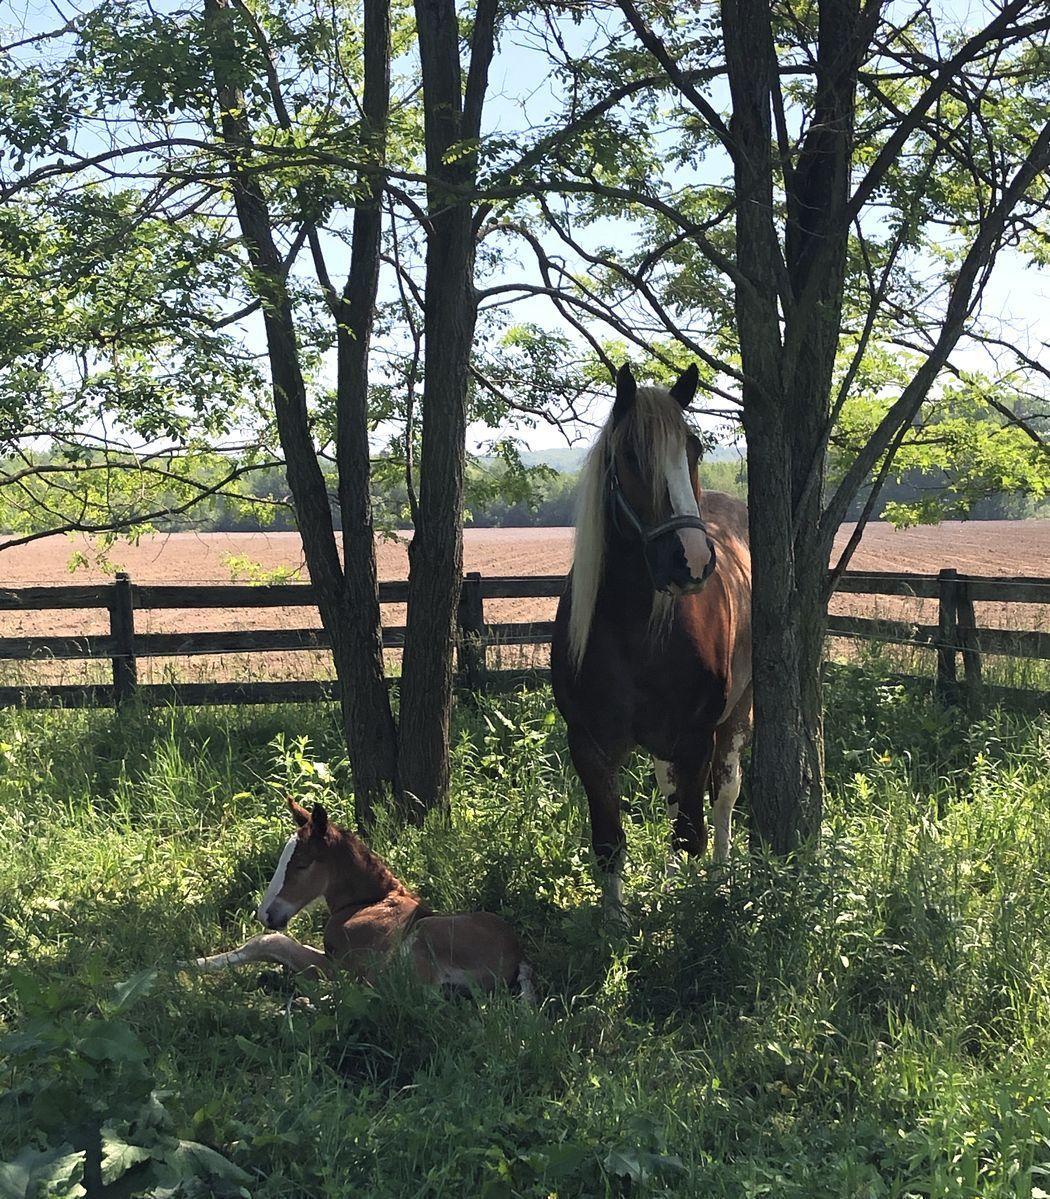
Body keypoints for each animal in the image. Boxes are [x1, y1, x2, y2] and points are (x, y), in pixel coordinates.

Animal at [188, 798, 534, 999]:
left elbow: (269, 942)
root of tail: (517, 958)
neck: (368, 903)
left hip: (422, 937)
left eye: (301, 864)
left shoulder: (345, 961)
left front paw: (189, 964)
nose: (266, 914)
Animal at [550, 363, 752, 920]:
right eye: (631, 456)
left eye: (695, 449)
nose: (693, 560)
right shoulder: (590, 746)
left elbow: (690, 833)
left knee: (723, 797)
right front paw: (615, 921)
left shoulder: (697, 737)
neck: (632, 630)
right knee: (671, 793)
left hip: (736, 714)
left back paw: (721, 875)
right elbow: (609, 842)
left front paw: (690, 911)